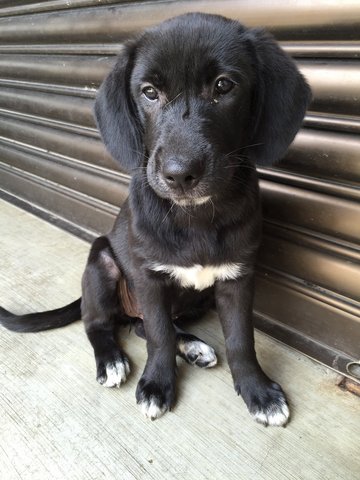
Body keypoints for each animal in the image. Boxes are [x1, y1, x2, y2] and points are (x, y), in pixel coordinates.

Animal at [0, 13, 310, 428]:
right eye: (149, 92)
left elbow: (241, 339)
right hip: (101, 262)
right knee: (101, 322)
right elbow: (160, 336)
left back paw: (192, 346)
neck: (194, 215)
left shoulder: (237, 277)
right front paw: (157, 385)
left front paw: (257, 390)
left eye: (224, 86)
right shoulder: (149, 277)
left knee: (141, 325)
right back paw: (112, 359)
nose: (180, 174)